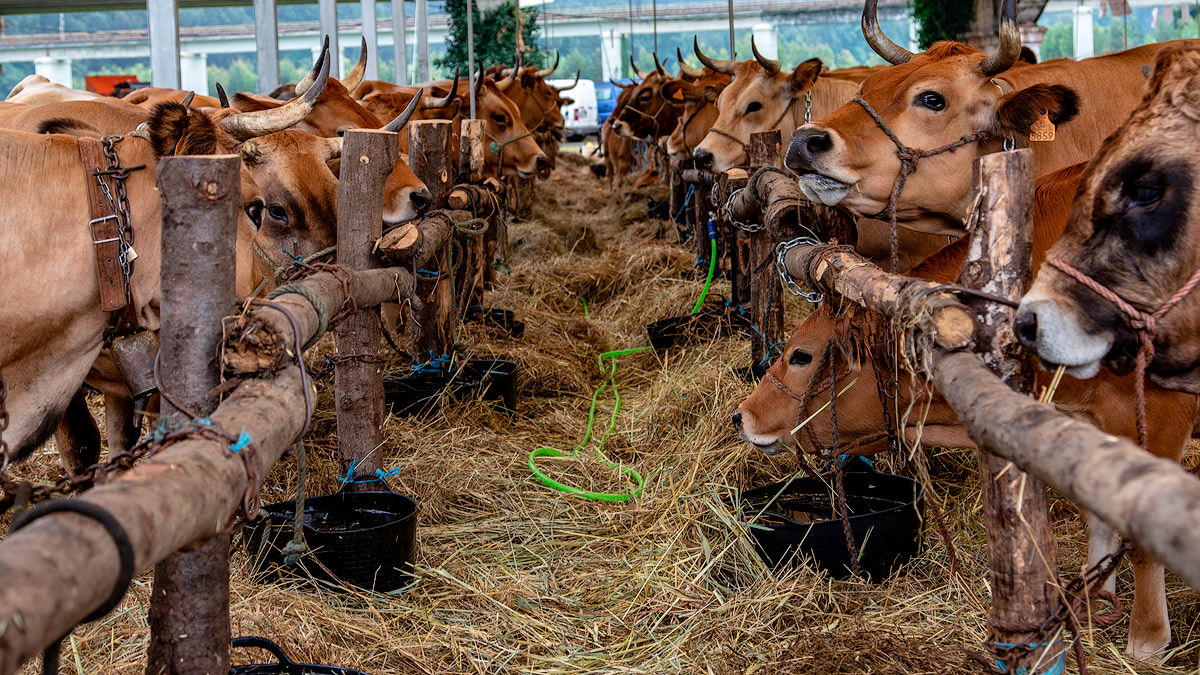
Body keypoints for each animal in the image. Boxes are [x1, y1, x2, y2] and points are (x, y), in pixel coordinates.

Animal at [734, 163, 1195, 658]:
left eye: (801, 356)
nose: (741, 415)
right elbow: (1101, 520)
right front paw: (1094, 601)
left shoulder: (1158, 418)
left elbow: (1144, 539)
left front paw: (1147, 637)